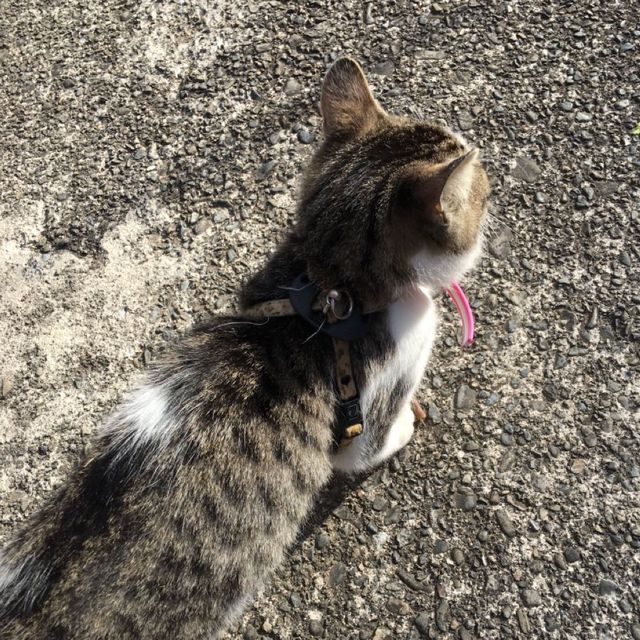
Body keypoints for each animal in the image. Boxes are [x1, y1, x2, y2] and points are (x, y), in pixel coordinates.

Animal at [0, 57, 490, 636]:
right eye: (483, 193)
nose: (491, 186)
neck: (330, 283)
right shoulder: (375, 401)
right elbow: (372, 445)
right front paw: (410, 423)